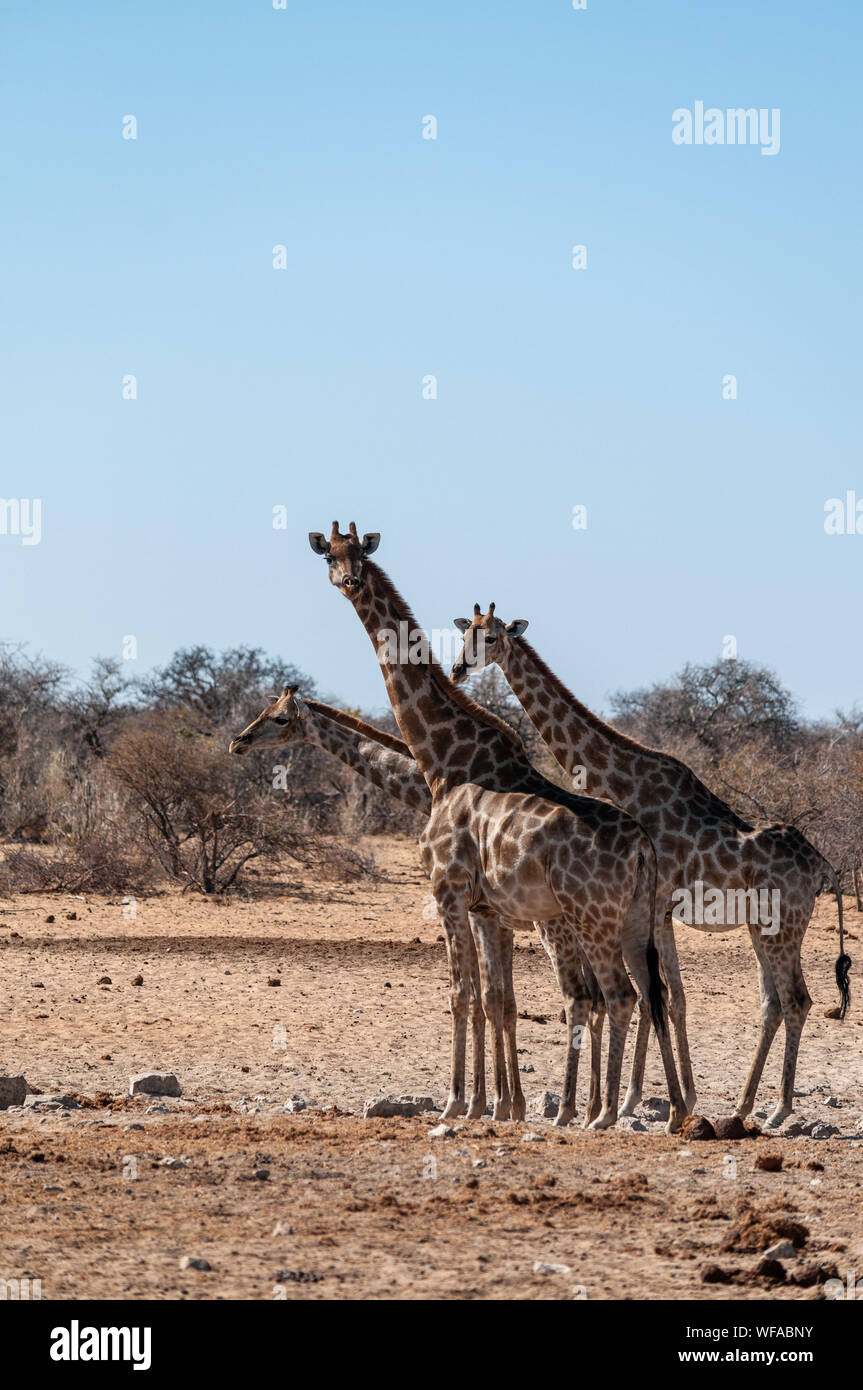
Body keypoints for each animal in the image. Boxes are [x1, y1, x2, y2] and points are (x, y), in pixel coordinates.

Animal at [309, 522, 686, 1128]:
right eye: (331, 557)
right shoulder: (490, 910)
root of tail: (643, 848)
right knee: (651, 994)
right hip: (633, 919)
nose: (349, 582)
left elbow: (461, 995)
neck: (440, 763)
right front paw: (500, 1105)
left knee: (616, 996)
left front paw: (458, 1102)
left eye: (360, 555)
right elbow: (495, 1000)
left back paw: (600, 1114)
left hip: (591, 918)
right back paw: (670, 1110)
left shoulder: (448, 892)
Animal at [450, 603, 850, 1123]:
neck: (623, 782)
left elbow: (653, 994)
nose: (457, 670)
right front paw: (667, 1098)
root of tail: (823, 865)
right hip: (762, 928)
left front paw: (631, 1099)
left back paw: (778, 1110)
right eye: (467, 636)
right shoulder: (658, 912)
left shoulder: (654, 906)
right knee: (774, 1003)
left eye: (493, 638)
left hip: (782, 926)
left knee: (797, 1000)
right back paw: (742, 1106)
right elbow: (669, 997)